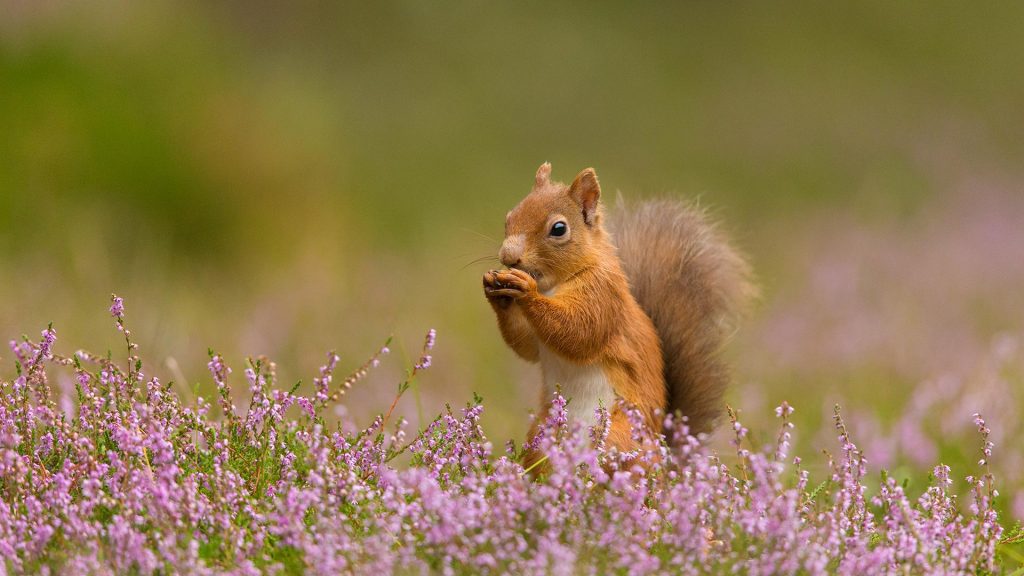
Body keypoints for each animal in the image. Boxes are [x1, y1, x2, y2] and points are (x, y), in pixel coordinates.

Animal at [483, 163, 757, 469]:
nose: (508, 257)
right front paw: (495, 290)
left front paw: (525, 290)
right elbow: (527, 347)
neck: (554, 285)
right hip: (542, 435)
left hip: (621, 435)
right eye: (509, 217)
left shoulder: (604, 296)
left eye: (558, 229)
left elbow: (579, 333)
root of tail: (665, 462)